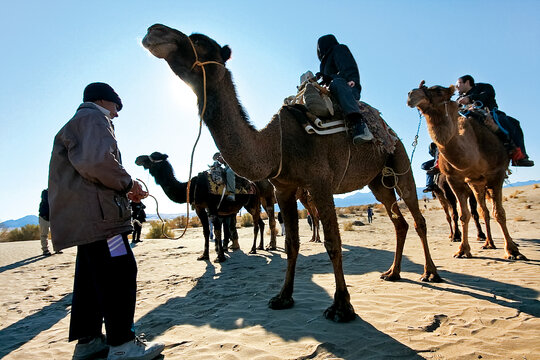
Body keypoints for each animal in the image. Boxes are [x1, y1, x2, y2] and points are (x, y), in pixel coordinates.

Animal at [136, 152, 278, 262]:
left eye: (153, 156)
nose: (138, 159)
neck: (192, 187)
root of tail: (253, 185)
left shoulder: (212, 207)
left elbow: (217, 231)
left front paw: (220, 257)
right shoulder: (200, 208)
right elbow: (205, 231)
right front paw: (204, 255)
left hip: (254, 203)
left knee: (256, 225)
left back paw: (254, 249)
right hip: (253, 204)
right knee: (261, 223)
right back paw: (260, 246)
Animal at [408, 82, 524, 260]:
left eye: (438, 91)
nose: (411, 94)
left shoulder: (496, 174)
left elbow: (499, 213)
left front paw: (512, 250)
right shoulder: (454, 181)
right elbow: (463, 215)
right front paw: (462, 250)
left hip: (482, 182)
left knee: (485, 211)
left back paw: (492, 241)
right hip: (473, 184)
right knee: (476, 212)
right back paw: (486, 242)